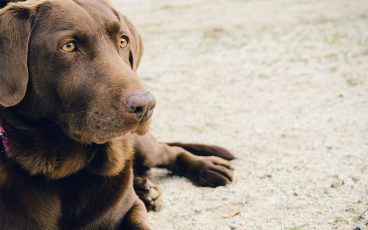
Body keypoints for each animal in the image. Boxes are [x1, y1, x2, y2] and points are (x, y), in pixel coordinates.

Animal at [0, 0, 234, 229]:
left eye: (123, 41)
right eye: (68, 46)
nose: (146, 105)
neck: (65, 171)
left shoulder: (131, 208)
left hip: (142, 147)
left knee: (170, 151)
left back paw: (206, 167)